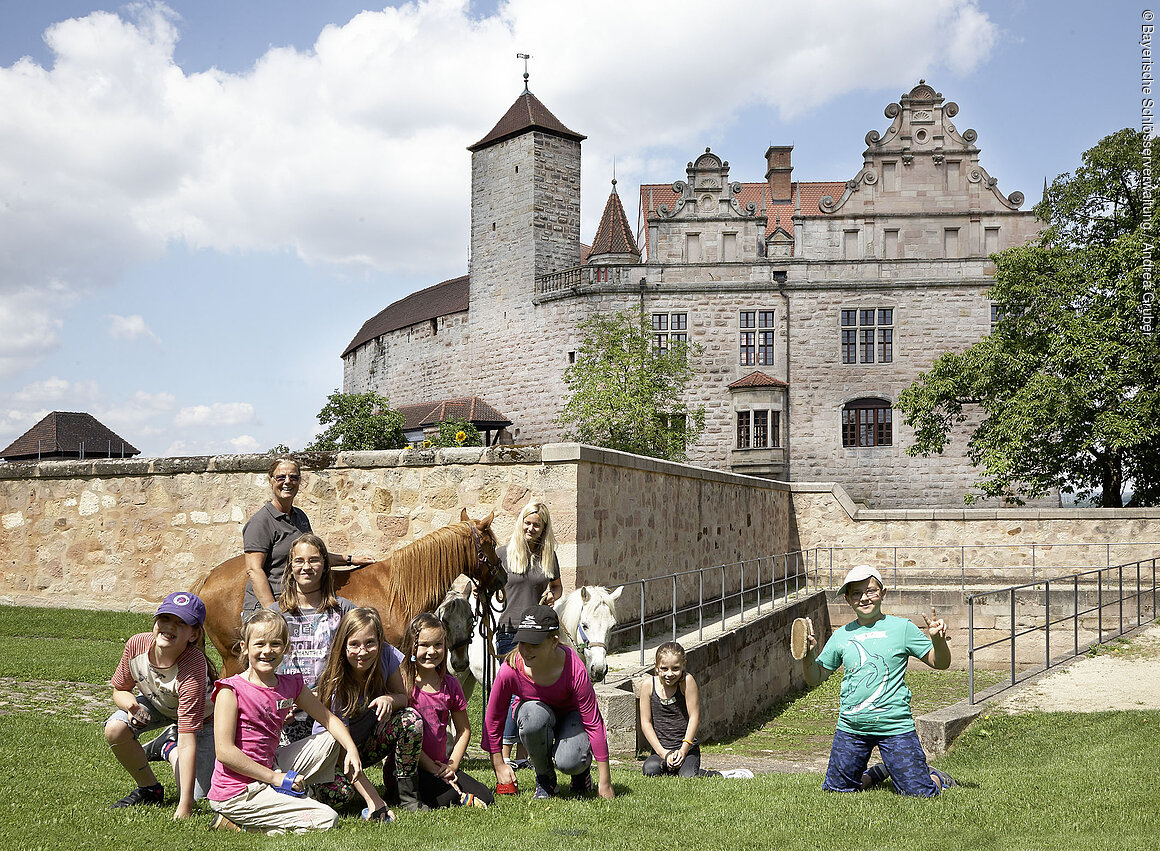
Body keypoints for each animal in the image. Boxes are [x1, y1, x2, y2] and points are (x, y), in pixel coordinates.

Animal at [194, 505, 503, 681]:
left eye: (471, 620)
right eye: (490, 544)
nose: (501, 578)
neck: (398, 590)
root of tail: (208, 578)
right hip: (234, 658)